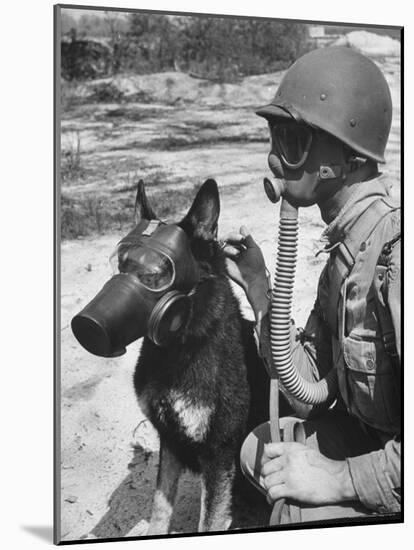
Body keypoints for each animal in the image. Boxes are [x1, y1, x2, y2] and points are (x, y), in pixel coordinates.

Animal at [132, 180, 268, 536]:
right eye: (123, 263)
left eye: (159, 270)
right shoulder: (169, 440)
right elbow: (160, 507)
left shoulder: (219, 452)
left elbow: (210, 519)